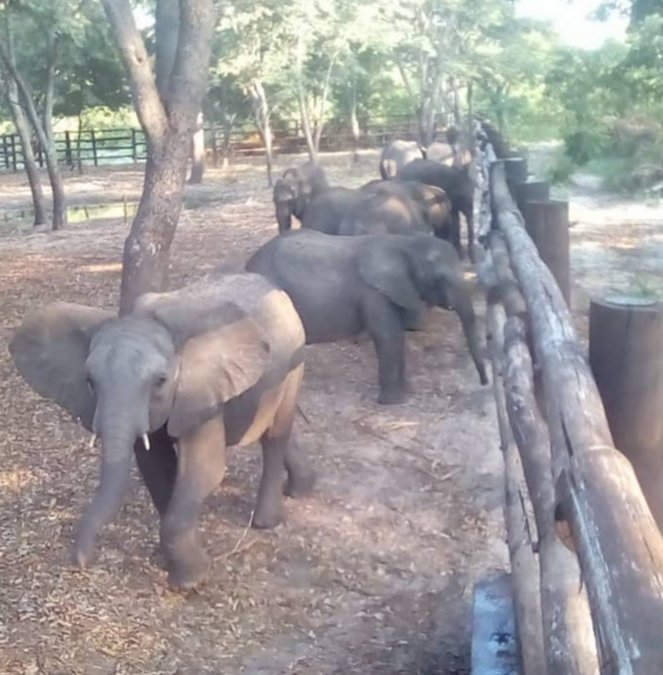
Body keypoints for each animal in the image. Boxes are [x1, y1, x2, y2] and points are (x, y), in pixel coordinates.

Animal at [9, 272, 316, 588]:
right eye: (89, 381)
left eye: (160, 381)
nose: (81, 562)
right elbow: (156, 464)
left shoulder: (200, 389)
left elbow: (203, 469)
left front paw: (192, 579)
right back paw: (301, 488)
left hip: (294, 356)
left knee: (275, 436)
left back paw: (266, 521)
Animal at [244, 230, 488, 404]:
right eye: (438, 280)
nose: (484, 383)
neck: (405, 243)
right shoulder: (373, 292)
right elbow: (388, 335)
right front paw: (392, 402)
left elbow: (397, 335)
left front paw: (407, 391)